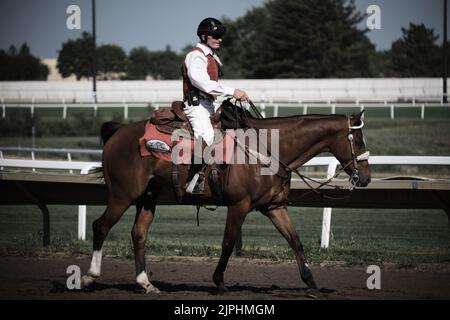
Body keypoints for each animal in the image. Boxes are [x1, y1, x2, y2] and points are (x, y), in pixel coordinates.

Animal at [80, 103, 370, 296]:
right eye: (358, 139)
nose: (366, 177)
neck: (266, 148)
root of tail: (119, 132)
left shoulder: (275, 207)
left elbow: (295, 241)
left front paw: (311, 282)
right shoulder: (239, 205)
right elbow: (229, 242)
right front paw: (219, 281)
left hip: (147, 197)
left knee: (138, 234)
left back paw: (145, 283)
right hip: (122, 195)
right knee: (101, 226)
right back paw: (89, 277)